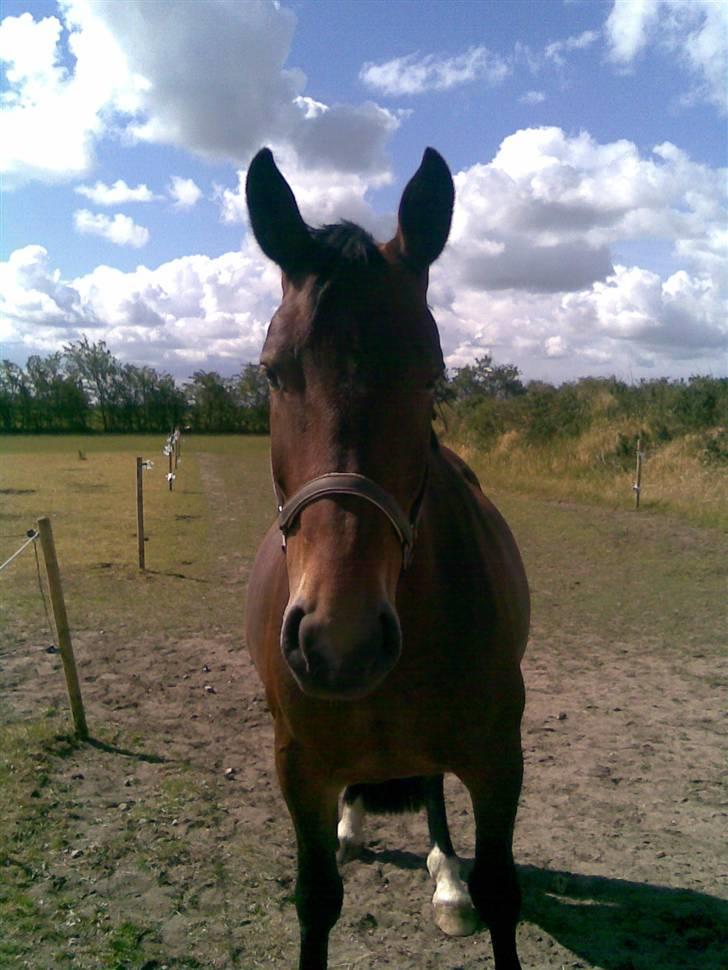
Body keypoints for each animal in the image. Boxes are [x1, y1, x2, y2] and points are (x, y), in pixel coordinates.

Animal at [245, 146, 528, 968]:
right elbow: (315, 902)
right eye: (272, 371)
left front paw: (462, 881)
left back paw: (446, 877)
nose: (338, 639)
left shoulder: (499, 759)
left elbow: (502, 893)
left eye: (431, 373)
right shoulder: (299, 767)